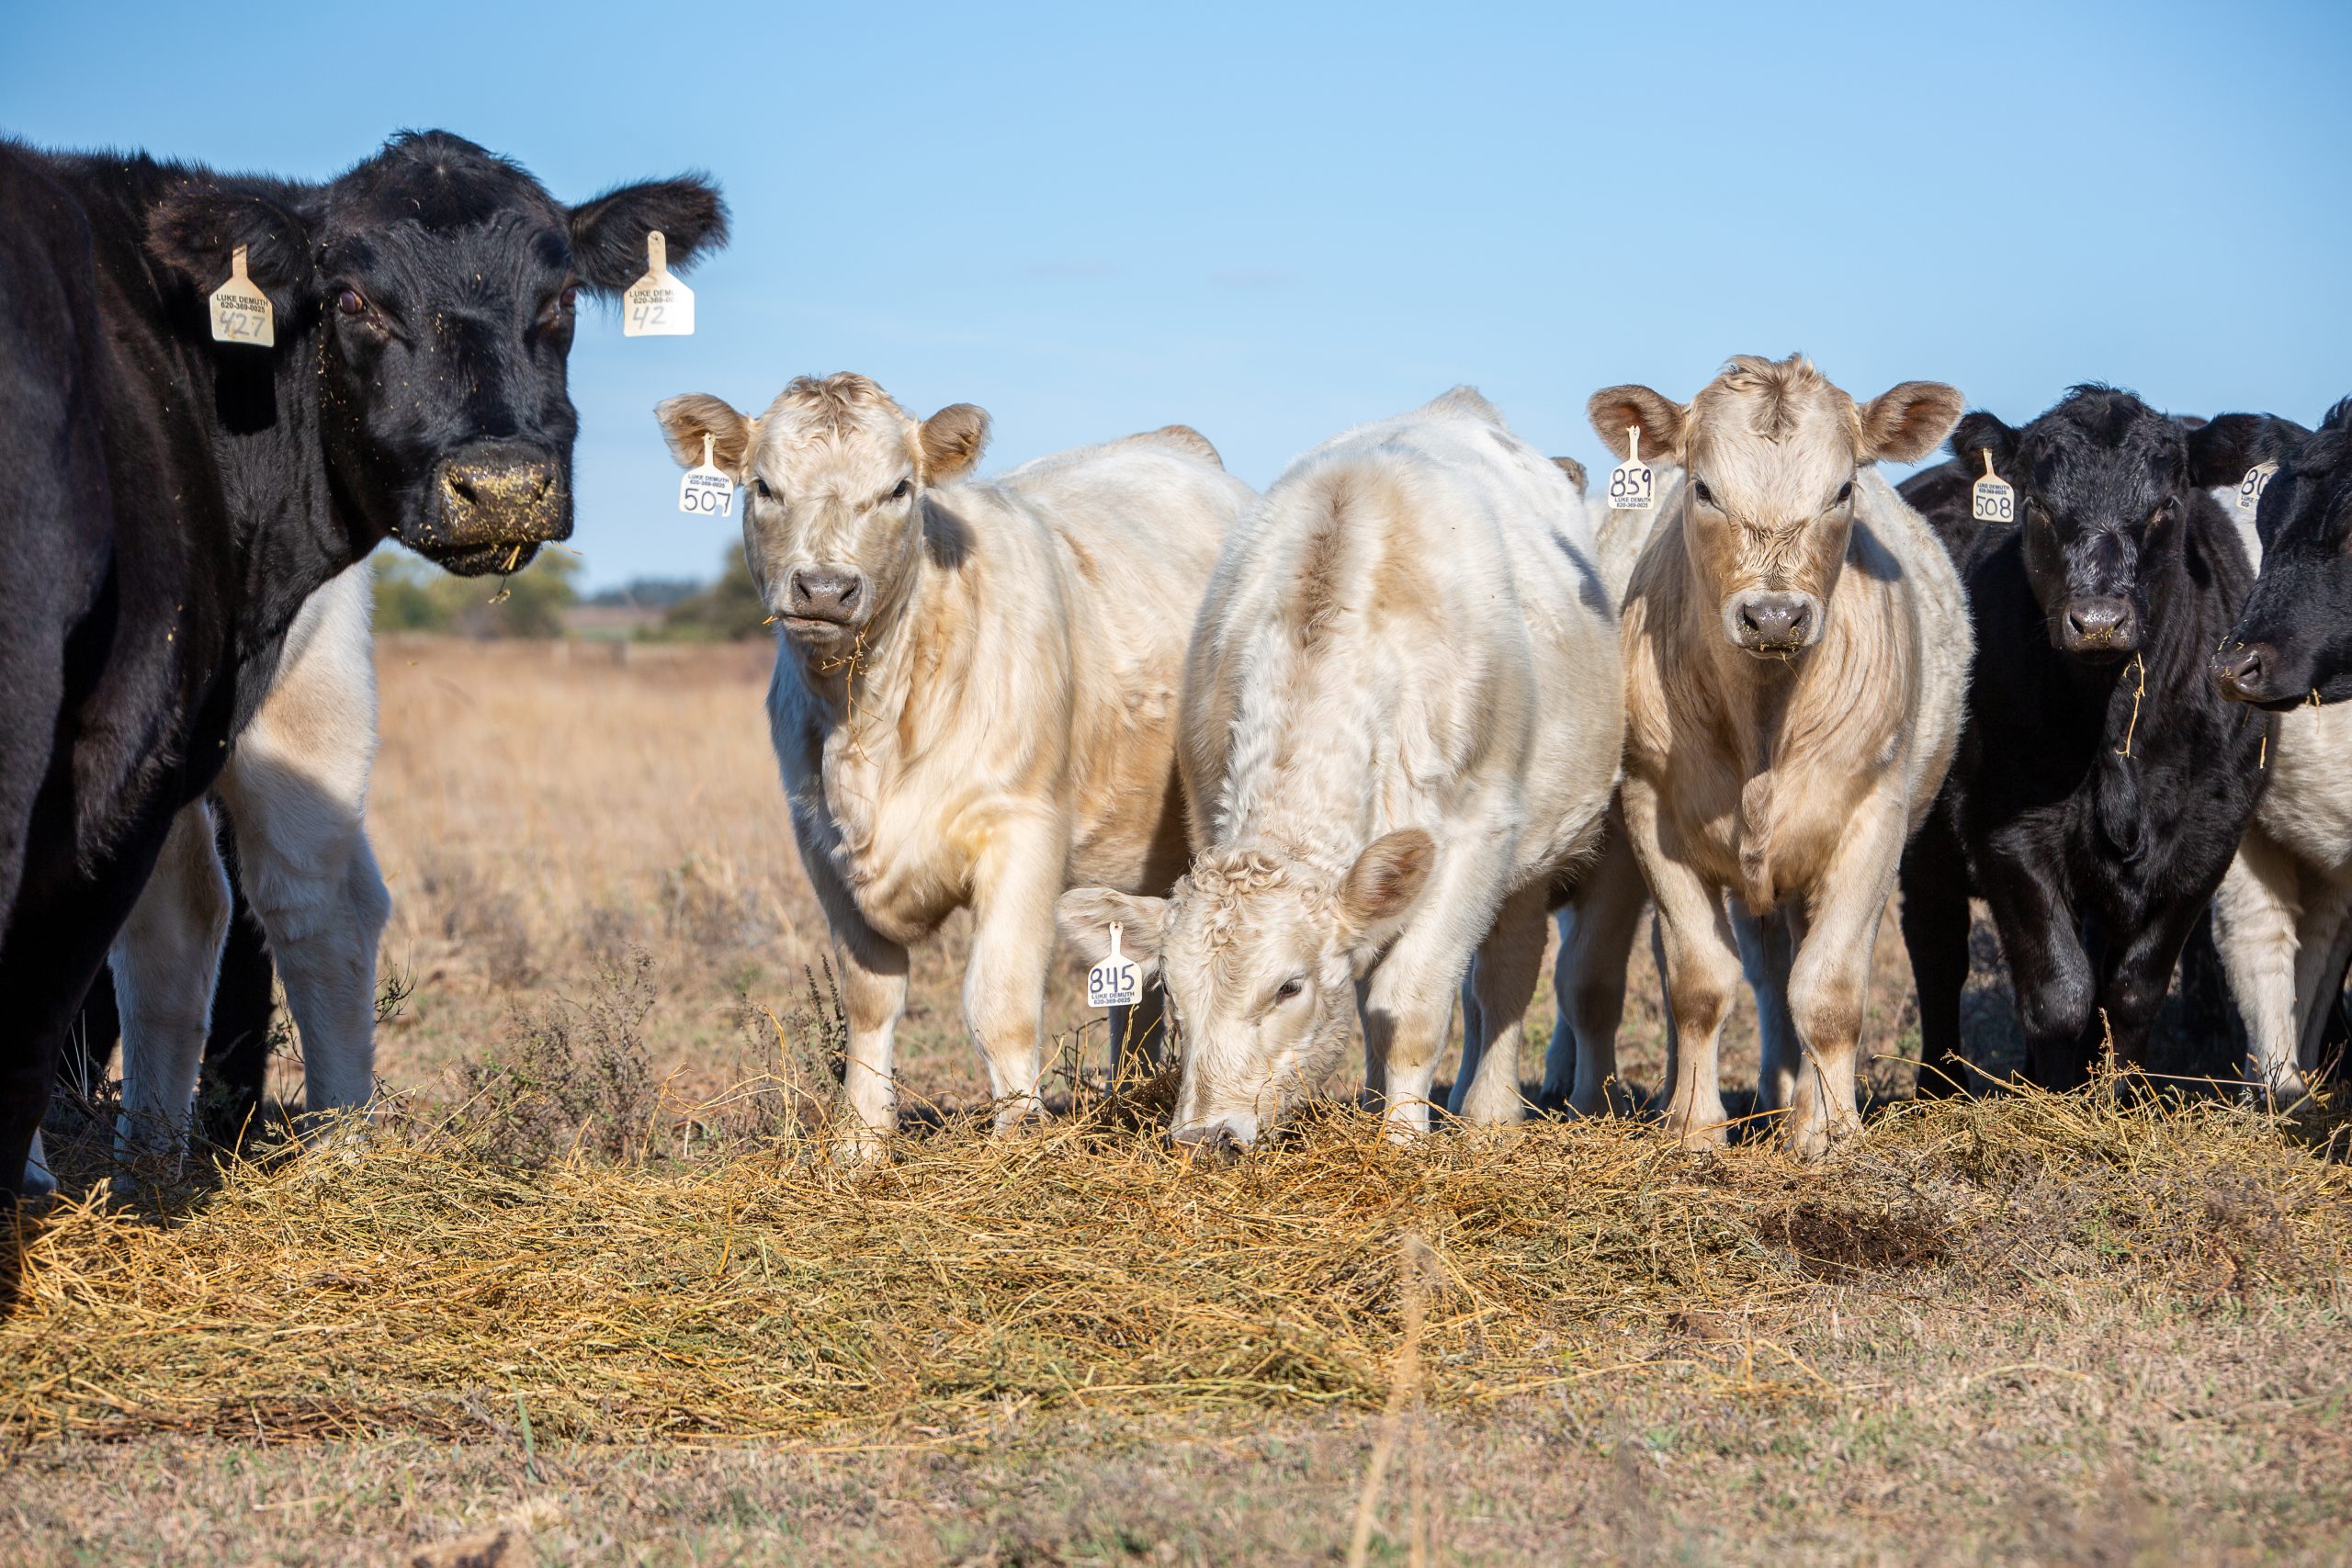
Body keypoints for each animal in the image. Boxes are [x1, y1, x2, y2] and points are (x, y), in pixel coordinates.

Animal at [0, 131, 727, 1209]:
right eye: (350, 298)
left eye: (560, 297)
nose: (501, 486)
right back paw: (150, 1170)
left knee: (298, 901)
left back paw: (320, 1157)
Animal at [654, 374, 1252, 1161]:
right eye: (764, 486)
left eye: (899, 488)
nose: (824, 588)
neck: (866, 722)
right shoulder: (820, 846)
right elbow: (869, 1000)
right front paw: (860, 1141)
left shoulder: (1024, 833)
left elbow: (999, 1002)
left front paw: (1019, 1136)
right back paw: (1128, 1093)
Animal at [1056, 387, 1625, 1150]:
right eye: (1173, 989)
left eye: (1288, 987)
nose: (1206, 1135)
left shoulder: (1474, 840)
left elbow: (1412, 1008)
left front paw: (1403, 1143)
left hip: (1534, 850)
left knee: (1505, 969)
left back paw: (1487, 1111)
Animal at [1588, 355, 1967, 1157]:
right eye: (1703, 488)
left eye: (1843, 489)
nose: (1772, 615)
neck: (1762, 721)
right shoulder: (1653, 813)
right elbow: (1699, 981)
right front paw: (1694, 1124)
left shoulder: (1873, 821)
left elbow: (1827, 989)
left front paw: (1831, 1128)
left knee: (1790, 968)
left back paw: (1794, 1099)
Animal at [1898, 386, 2270, 1104]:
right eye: (2039, 506)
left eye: (2167, 503)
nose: (2098, 621)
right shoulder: (2006, 831)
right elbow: (2058, 992)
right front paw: (2054, 1104)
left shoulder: (2209, 838)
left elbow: (2131, 990)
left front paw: (2118, 1101)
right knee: (1938, 952)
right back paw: (1940, 1089)